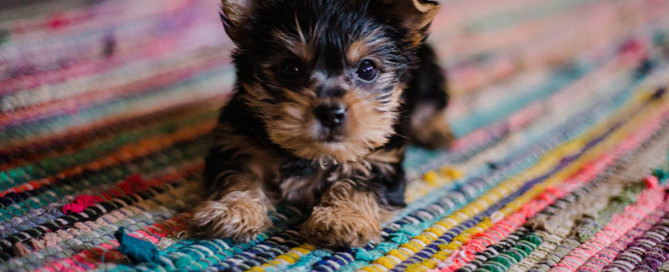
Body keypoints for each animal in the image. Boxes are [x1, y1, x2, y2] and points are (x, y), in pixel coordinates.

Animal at [188, 0, 452, 248]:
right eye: (290, 68)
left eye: (367, 69)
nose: (331, 113)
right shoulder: (238, 142)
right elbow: (238, 175)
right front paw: (233, 210)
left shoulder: (380, 160)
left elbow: (358, 183)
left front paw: (343, 219)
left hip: (428, 76)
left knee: (433, 101)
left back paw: (436, 132)